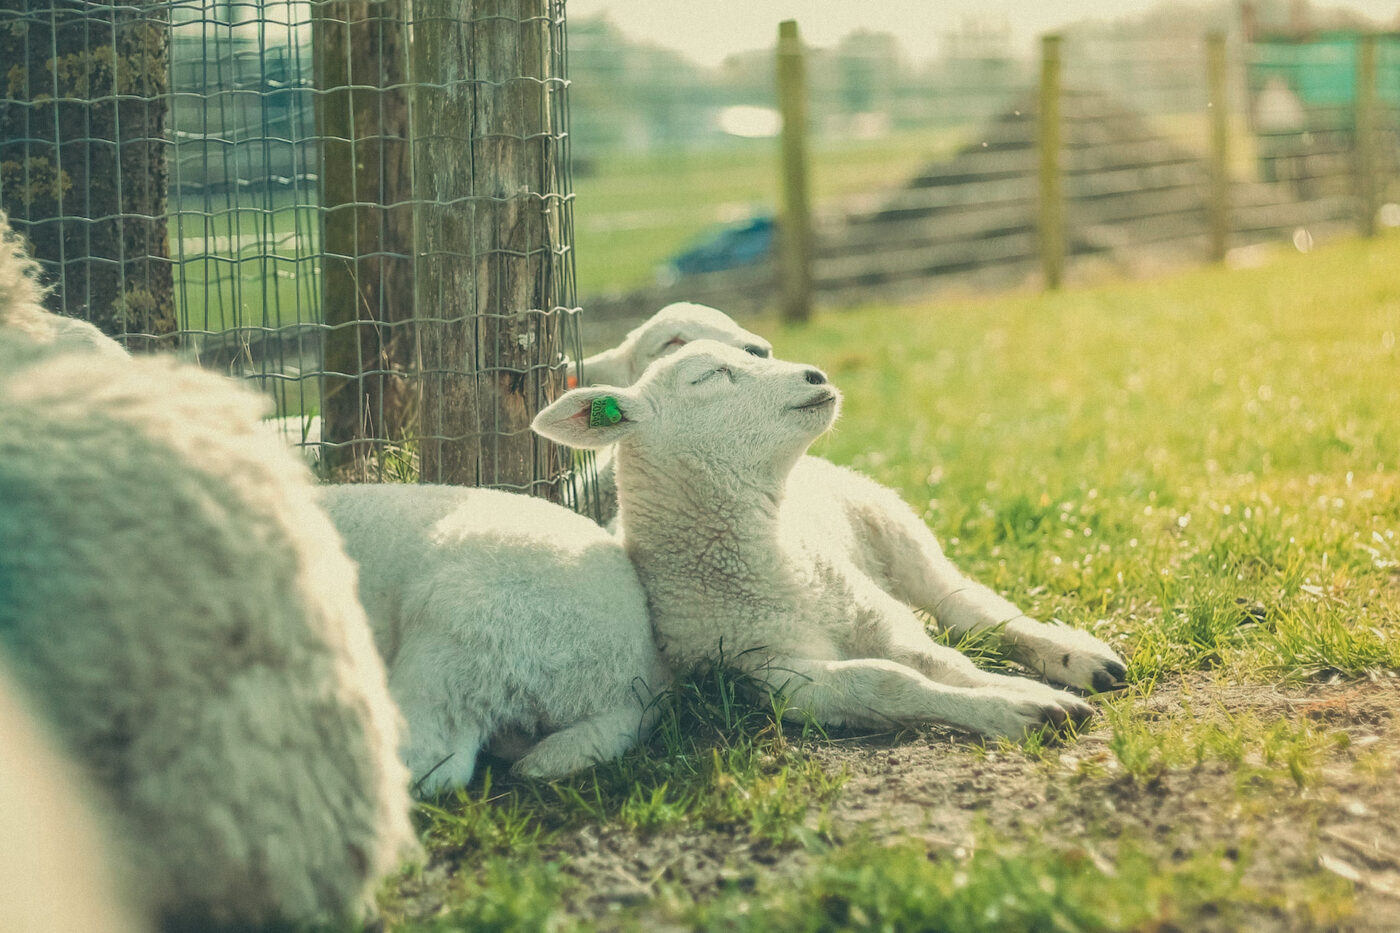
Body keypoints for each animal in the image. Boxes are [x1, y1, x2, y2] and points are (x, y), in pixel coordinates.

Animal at [529, 337, 1120, 739]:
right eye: (711, 375)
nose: (815, 375)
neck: (775, 569)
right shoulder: (770, 674)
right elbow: (888, 682)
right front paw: (1021, 709)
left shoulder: (876, 615)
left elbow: (943, 663)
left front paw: (1026, 693)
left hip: (894, 526)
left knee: (971, 610)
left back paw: (1082, 660)